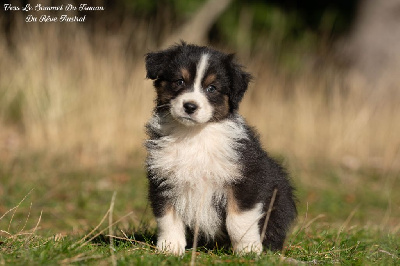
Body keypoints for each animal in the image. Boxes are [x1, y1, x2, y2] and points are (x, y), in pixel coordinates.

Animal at [145, 42, 296, 256]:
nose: (190, 106)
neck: (194, 135)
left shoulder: (245, 180)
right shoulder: (163, 179)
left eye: (212, 88)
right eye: (179, 81)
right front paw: (170, 248)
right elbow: (168, 217)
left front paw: (248, 250)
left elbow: (239, 220)